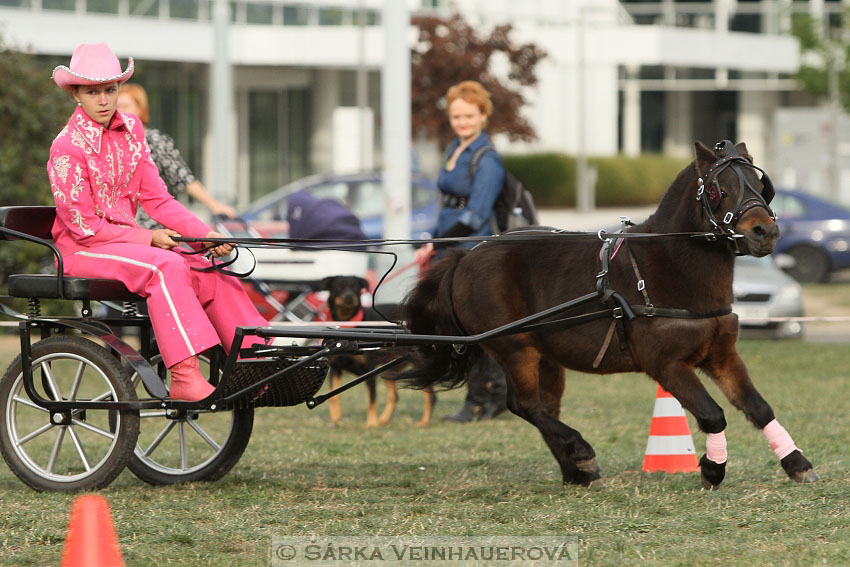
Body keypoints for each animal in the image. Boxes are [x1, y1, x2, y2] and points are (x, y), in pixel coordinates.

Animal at [320, 278, 434, 428]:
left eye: (355, 287)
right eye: (338, 287)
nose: (349, 297)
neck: (348, 323)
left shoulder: (369, 369)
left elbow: (372, 399)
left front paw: (371, 424)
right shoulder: (335, 369)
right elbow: (333, 396)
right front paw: (335, 419)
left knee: (431, 395)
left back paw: (424, 421)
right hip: (390, 370)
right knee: (394, 397)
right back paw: (383, 420)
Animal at [400, 141, 820, 488]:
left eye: (760, 184)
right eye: (721, 189)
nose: (765, 231)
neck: (666, 264)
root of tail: (467, 256)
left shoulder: (722, 355)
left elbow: (758, 408)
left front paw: (796, 463)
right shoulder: (666, 365)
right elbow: (713, 414)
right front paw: (713, 468)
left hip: (545, 355)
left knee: (543, 407)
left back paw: (575, 470)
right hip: (514, 347)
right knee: (524, 405)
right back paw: (580, 451)